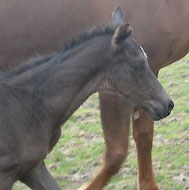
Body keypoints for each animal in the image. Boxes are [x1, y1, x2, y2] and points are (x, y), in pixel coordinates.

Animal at [0, 0, 188, 190]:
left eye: (146, 58)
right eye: (137, 64)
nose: (168, 104)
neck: (31, 102)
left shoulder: (33, 168)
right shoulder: (7, 174)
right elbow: (117, 152)